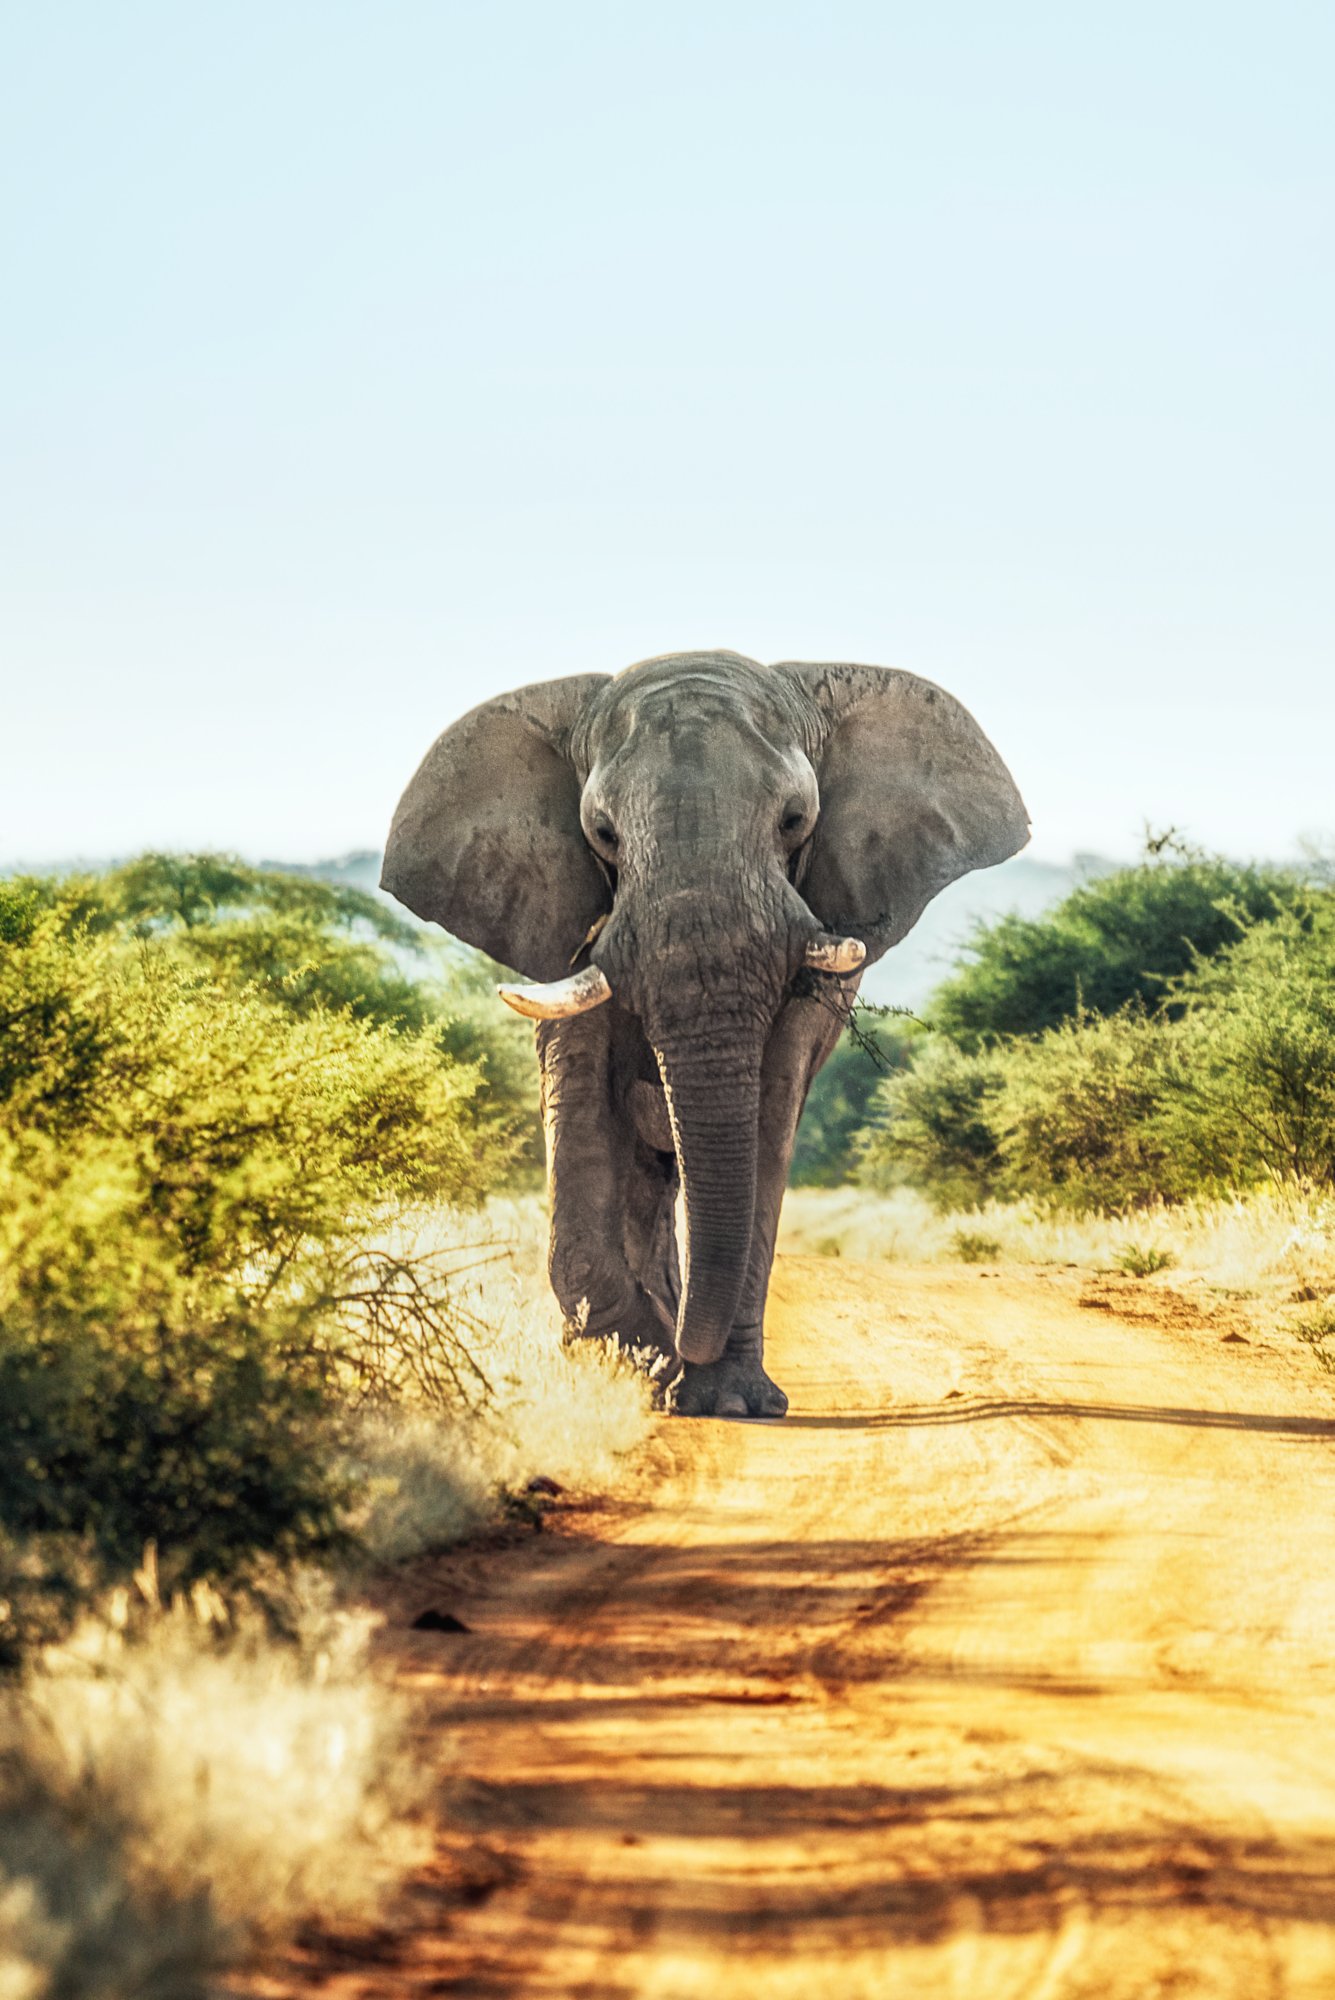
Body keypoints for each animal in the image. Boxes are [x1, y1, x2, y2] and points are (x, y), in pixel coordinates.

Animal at [379, 648, 1031, 1416]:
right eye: (602, 834)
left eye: (795, 820)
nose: (685, 1359)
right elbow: (583, 1105)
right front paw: (645, 1365)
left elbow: (768, 1119)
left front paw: (722, 1398)